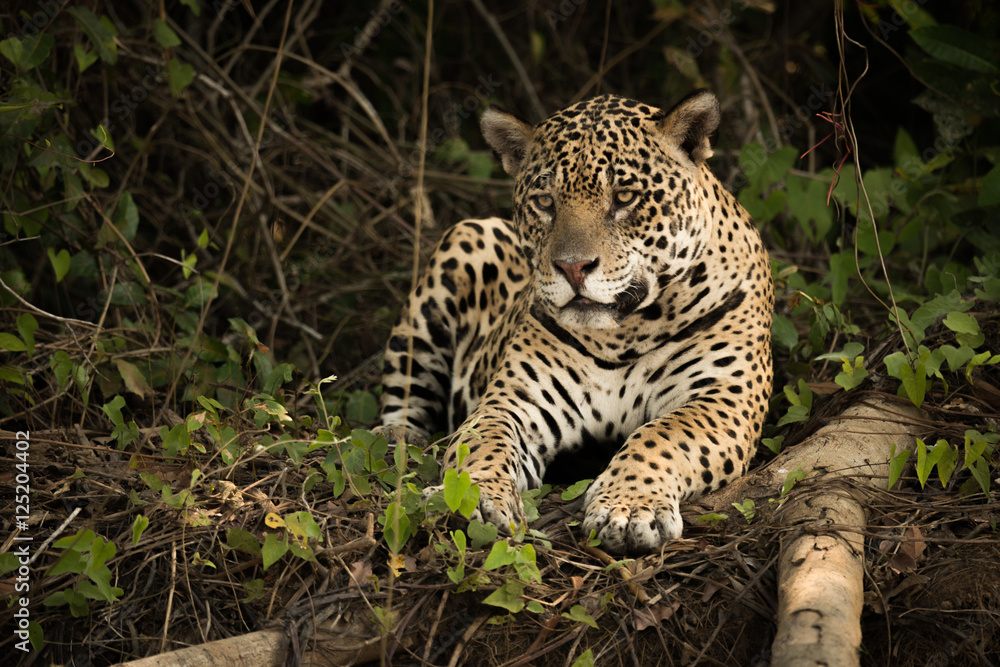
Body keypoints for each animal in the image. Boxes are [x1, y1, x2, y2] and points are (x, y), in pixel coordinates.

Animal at [377, 90, 773, 555]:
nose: (572, 267)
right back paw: (399, 438)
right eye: (545, 202)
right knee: (403, 392)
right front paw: (472, 498)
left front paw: (628, 508)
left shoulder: (724, 397)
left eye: (624, 197)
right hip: (464, 242)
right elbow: (483, 442)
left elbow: (663, 435)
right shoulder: (513, 401)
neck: (625, 333)